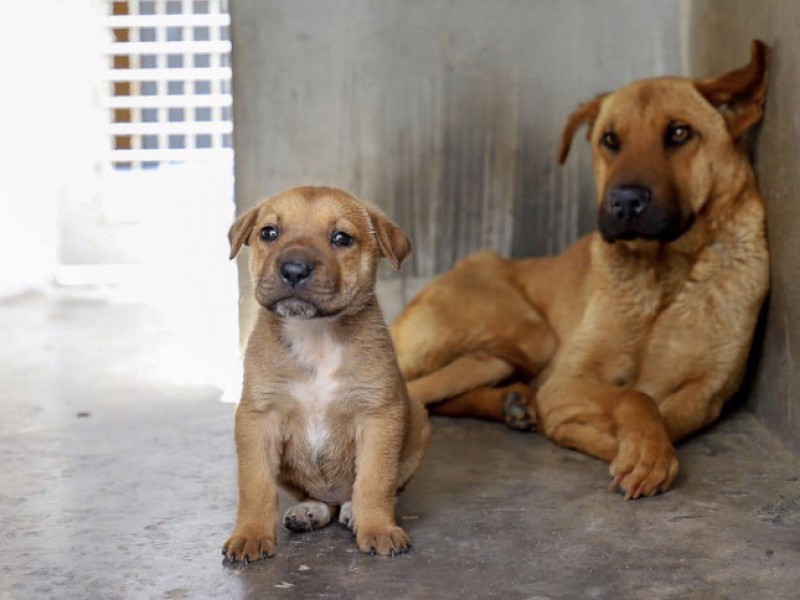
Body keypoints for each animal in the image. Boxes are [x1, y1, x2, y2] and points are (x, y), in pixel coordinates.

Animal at [219, 185, 432, 560]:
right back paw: (310, 509)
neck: (315, 334)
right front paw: (251, 535)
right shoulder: (257, 417)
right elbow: (255, 483)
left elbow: (375, 480)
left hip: (418, 420)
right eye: (269, 233)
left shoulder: (378, 415)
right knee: (316, 496)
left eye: (341, 238)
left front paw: (378, 528)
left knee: (364, 491)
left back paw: (352, 512)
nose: (293, 269)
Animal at [392, 41, 768, 502]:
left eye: (680, 133)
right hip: (529, 337)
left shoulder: (707, 393)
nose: (624, 202)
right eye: (610, 140)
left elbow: (663, 413)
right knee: (410, 391)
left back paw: (513, 404)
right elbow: (635, 399)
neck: (666, 273)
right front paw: (633, 447)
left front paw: (640, 447)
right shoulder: (568, 379)